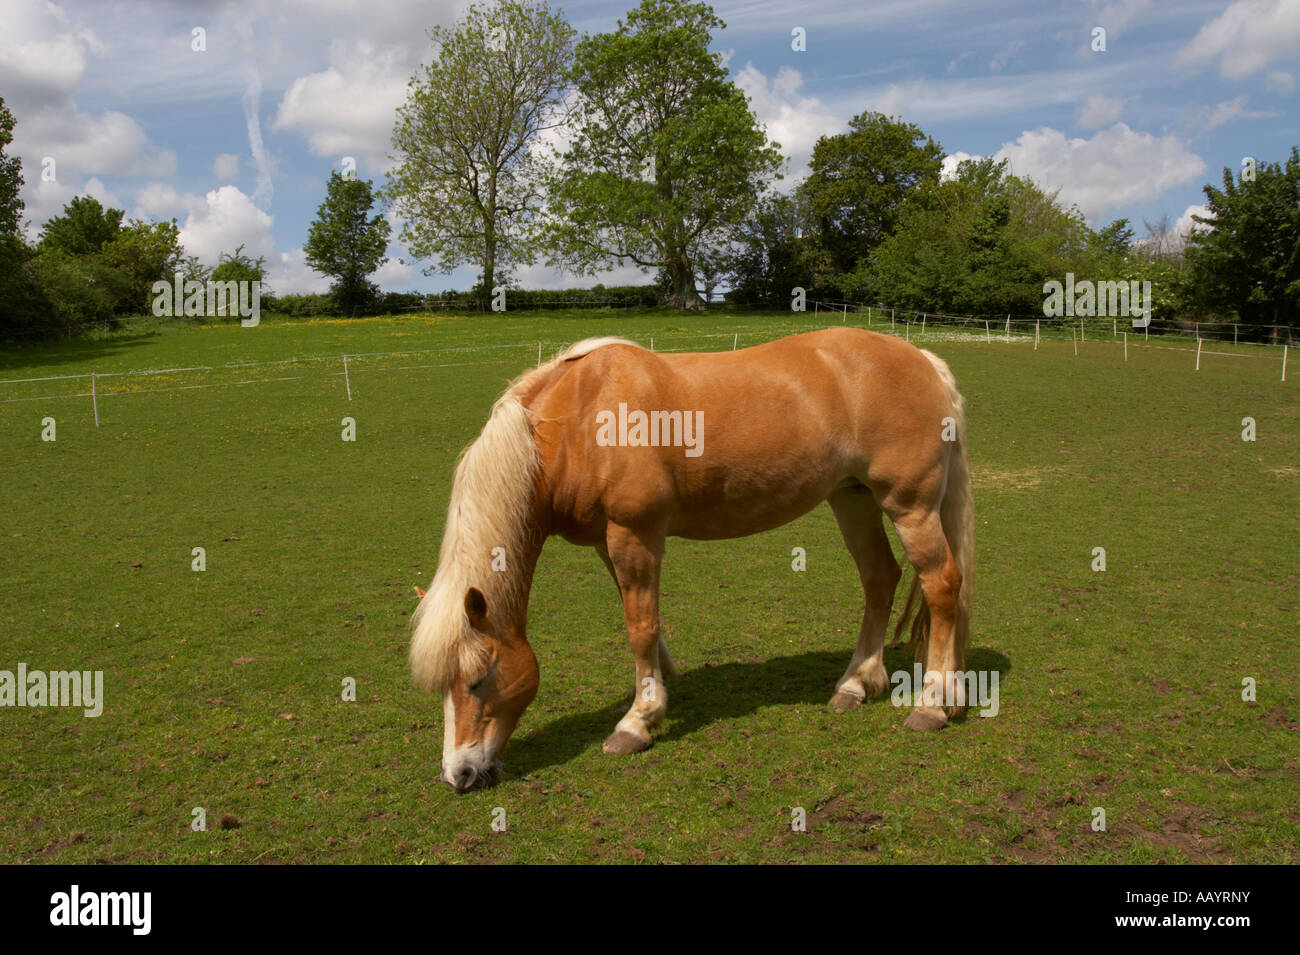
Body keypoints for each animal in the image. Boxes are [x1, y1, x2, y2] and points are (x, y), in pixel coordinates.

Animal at [410, 327, 974, 791]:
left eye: (478, 680)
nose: (458, 775)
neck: (576, 421)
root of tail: (923, 359)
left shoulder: (634, 535)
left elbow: (639, 626)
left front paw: (637, 722)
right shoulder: (608, 543)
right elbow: (644, 622)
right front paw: (659, 692)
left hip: (911, 507)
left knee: (942, 585)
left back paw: (933, 705)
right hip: (852, 499)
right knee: (880, 580)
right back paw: (856, 685)